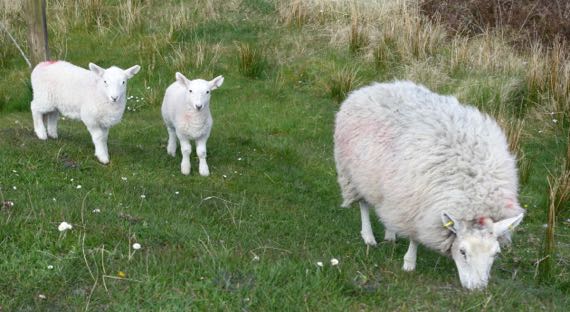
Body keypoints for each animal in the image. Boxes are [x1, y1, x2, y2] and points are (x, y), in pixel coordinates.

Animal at [332, 81, 524, 290]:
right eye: (463, 252)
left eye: (495, 254)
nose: (477, 289)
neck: (475, 190)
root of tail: (372, 87)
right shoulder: (416, 207)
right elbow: (415, 238)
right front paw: (409, 263)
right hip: (354, 174)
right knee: (364, 205)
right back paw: (368, 236)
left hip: (388, 187)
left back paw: (390, 233)